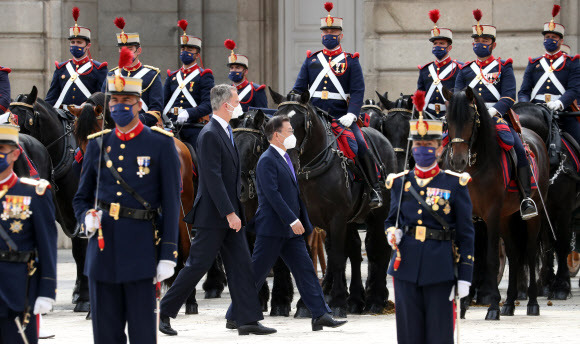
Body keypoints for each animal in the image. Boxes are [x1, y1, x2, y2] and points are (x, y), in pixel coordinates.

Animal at [230, 109, 294, 316]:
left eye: (257, 148)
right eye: (233, 144)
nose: (239, 189)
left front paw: (281, 300)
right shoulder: (247, 226)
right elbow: (253, 255)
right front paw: (258, 297)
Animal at [268, 89, 396, 318]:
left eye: (301, 123)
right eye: (275, 121)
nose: (287, 156)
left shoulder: (337, 217)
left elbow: (336, 257)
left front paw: (336, 302)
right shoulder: (304, 218)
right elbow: (307, 259)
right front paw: (306, 305)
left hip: (378, 215)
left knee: (377, 249)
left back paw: (375, 300)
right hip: (352, 219)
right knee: (355, 250)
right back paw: (355, 300)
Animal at [446, 88, 552, 320]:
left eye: (471, 119)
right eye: (448, 119)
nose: (458, 161)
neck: (476, 166)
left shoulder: (492, 215)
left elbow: (491, 259)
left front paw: (492, 306)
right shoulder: (472, 216)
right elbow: (471, 257)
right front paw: (464, 305)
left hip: (534, 213)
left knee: (530, 252)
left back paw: (532, 303)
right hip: (506, 217)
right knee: (513, 254)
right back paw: (509, 303)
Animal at [516, 101, 576, 298]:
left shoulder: (564, 210)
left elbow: (562, 243)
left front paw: (562, 285)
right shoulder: (541, 211)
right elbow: (547, 244)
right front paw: (547, 283)